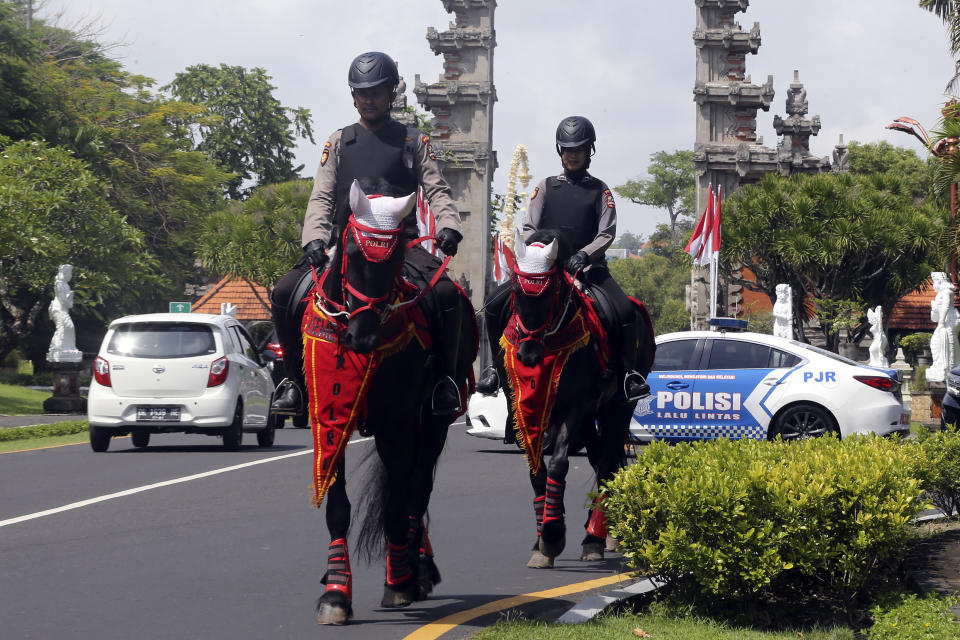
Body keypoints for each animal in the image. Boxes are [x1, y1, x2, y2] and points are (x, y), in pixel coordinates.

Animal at [304, 180, 476, 624]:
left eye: (396, 255)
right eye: (349, 250)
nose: (362, 338)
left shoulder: (396, 421)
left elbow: (399, 500)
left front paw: (398, 581)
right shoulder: (329, 419)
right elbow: (338, 505)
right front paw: (335, 592)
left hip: (434, 420)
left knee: (418, 487)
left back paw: (417, 569)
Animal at [492, 229, 656, 564]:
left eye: (550, 291)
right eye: (516, 289)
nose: (528, 355)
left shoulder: (576, 407)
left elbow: (558, 464)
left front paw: (553, 535)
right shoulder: (521, 407)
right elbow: (536, 469)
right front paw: (540, 541)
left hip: (618, 407)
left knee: (606, 460)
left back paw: (595, 537)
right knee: (598, 457)